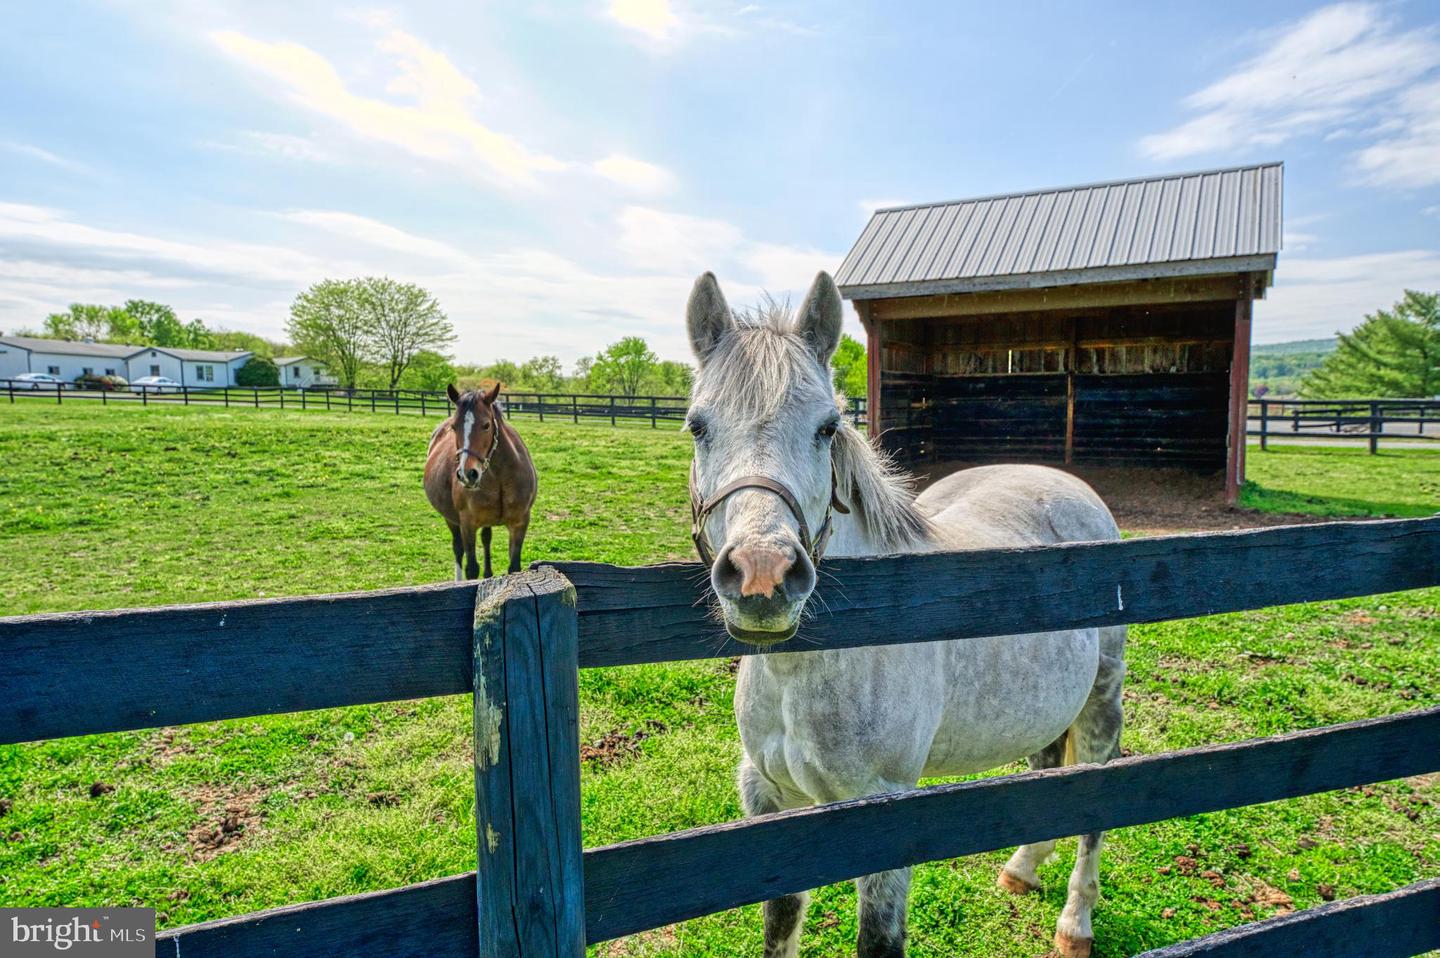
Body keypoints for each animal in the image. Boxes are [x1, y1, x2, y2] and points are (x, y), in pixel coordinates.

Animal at [429, 383, 541, 579]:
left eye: (486, 425)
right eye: (454, 427)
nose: (467, 474)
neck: (500, 476)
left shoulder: (520, 523)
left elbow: (514, 566)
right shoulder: (467, 524)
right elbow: (471, 568)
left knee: (486, 538)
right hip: (451, 519)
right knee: (458, 549)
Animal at [682, 269, 1123, 956]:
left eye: (827, 427)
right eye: (698, 427)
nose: (762, 575)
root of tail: (1069, 487)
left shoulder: (885, 814)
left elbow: (879, 939)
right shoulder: (768, 796)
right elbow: (780, 922)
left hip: (1103, 698)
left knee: (1093, 807)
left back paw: (1075, 924)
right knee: (1048, 767)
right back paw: (1022, 869)